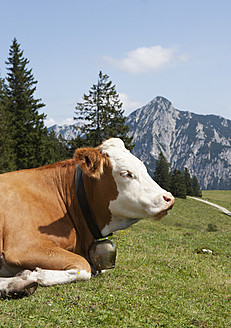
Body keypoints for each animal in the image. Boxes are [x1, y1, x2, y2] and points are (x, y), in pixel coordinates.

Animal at [0, 138, 173, 298]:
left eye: (143, 168)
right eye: (125, 173)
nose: (169, 198)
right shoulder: (23, 247)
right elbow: (83, 267)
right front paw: (33, 274)